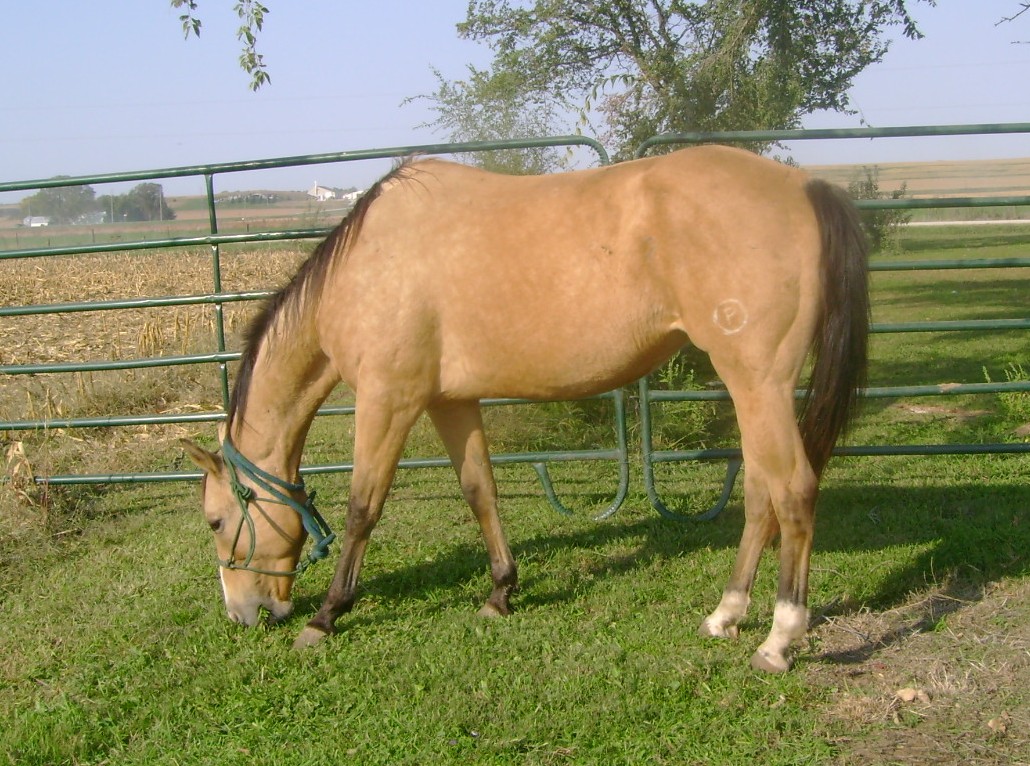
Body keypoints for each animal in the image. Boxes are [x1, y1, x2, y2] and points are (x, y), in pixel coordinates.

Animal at [181, 144, 865, 671]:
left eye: (215, 522)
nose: (243, 614)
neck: (366, 266)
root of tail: (804, 185)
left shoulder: (388, 400)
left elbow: (361, 508)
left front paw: (324, 618)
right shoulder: (451, 401)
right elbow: (480, 491)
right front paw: (501, 593)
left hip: (758, 381)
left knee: (793, 491)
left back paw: (778, 639)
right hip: (752, 389)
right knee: (759, 494)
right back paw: (725, 614)